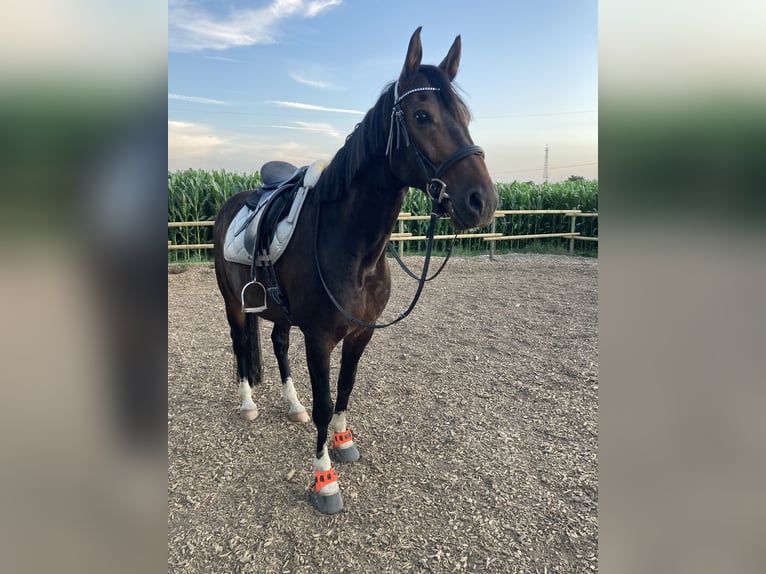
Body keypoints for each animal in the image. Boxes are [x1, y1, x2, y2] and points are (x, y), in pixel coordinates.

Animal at [212, 27, 498, 516]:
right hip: (234, 304)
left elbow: (345, 389)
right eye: (422, 115)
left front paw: (343, 442)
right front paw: (324, 480)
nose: (482, 200)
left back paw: (291, 405)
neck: (351, 247)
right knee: (240, 346)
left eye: (464, 116)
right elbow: (326, 403)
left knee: (277, 344)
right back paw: (248, 404)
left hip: (281, 313)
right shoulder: (320, 337)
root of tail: (231, 203)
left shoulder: (360, 333)